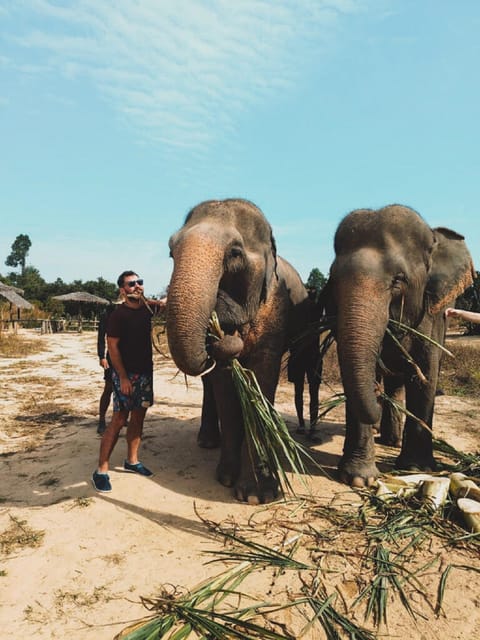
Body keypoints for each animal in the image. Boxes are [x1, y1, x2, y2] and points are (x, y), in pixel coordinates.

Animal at [167, 198, 310, 502]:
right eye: (171, 251)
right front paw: (225, 478)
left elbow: (262, 379)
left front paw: (258, 494)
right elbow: (224, 386)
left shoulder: (275, 309)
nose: (224, 333)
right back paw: (208, 441)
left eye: (235, 253)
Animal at [328, 204, 474, 484]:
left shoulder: (431, 316)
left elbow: (425, 375)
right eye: (334, 279)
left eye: (398, 279)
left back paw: (392, 441)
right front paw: (359, 479)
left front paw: (416, 468)